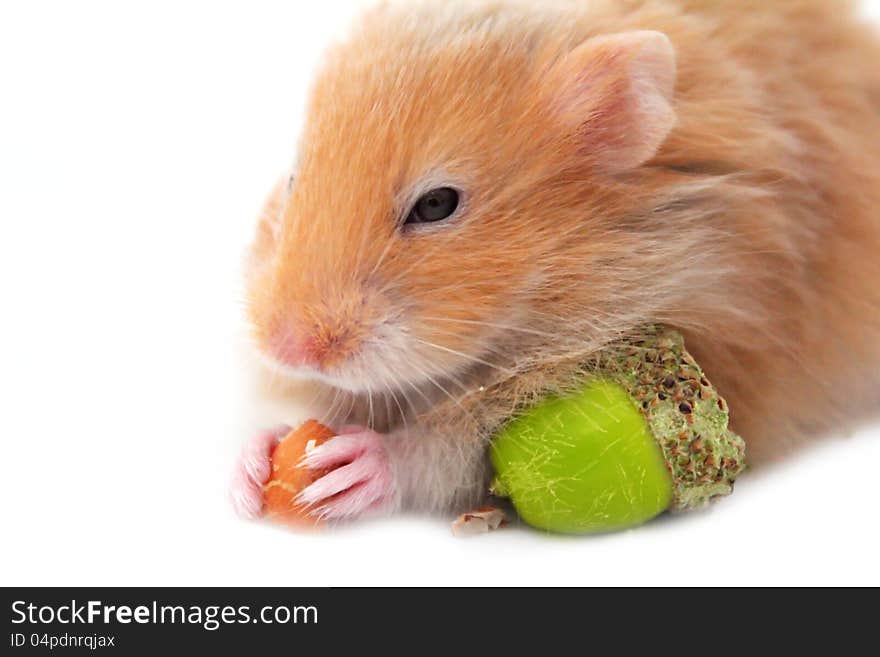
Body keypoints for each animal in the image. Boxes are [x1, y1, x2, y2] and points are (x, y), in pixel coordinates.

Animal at [229, 1, 880, 524]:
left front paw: (352, 464)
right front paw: (252, 465)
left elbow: (454, 445)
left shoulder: (727, 342)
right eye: (294, 180)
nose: (288, 348)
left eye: (437, 204)